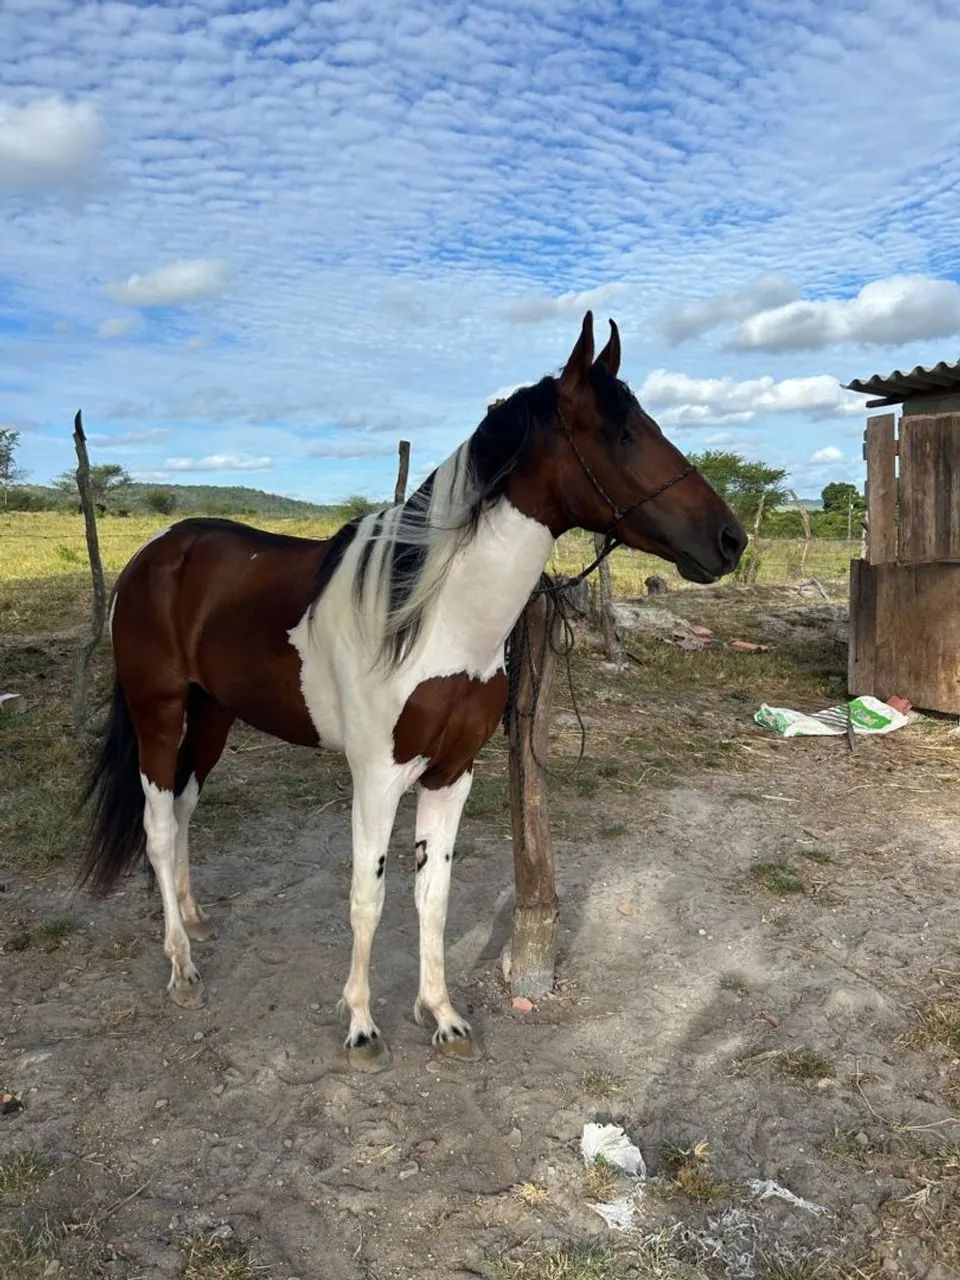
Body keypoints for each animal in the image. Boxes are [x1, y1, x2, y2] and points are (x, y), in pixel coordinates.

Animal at [78, 312, 746, 1070]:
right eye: (622, 432)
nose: (730, 539)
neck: (432, 616)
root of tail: (155, 553)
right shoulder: (376, 778)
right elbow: (367, 900)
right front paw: (362, 1027)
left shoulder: (452, 774)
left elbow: (434, 895)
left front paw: (444, 1015)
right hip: (158, 712)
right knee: (160, 828)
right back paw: (182, 968)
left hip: (213, 712)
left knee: (186, 806)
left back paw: (194, 921)